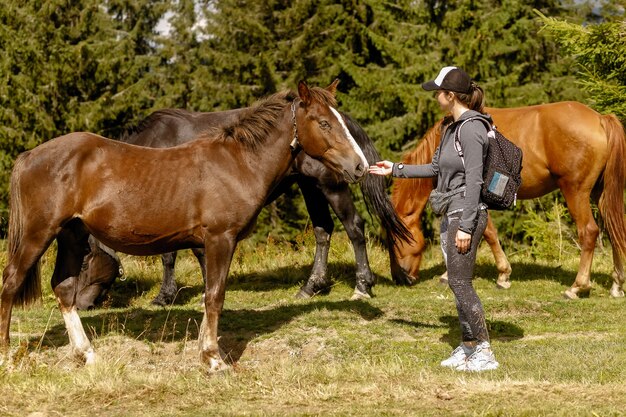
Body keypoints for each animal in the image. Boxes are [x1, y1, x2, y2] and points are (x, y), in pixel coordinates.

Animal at [0, 81, 368, 370]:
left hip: (71, 235)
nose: (360, 166)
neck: (237, 163)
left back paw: (87, 353)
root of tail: (30, 156)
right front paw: (214, 359)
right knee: (11, 282)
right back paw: (6, 356)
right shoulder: (220, 239)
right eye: (324, 122)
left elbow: (209, 293)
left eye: (340, 120)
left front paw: (206, 351)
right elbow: (215, 295)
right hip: (37, 233)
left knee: (63, 288)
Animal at [73, 105, 412, 308]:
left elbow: (172, 256)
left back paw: (362, 285)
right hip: (310, 186)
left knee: (354, 227)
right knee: (322, 230)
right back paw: (311, 286)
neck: (154, 145)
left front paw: (166, 296)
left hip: (331, 185)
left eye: (84, 262)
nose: (80, 304)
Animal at [390, 102, 624, 300]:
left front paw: (502, 275)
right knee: (615, 231)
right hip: (600, 195)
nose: (400, 279)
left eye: (395, 240)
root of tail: (600, 119)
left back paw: (577, 286)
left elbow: (486, 233)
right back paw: (617, 285)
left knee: (589, 232)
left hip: (576, 192)